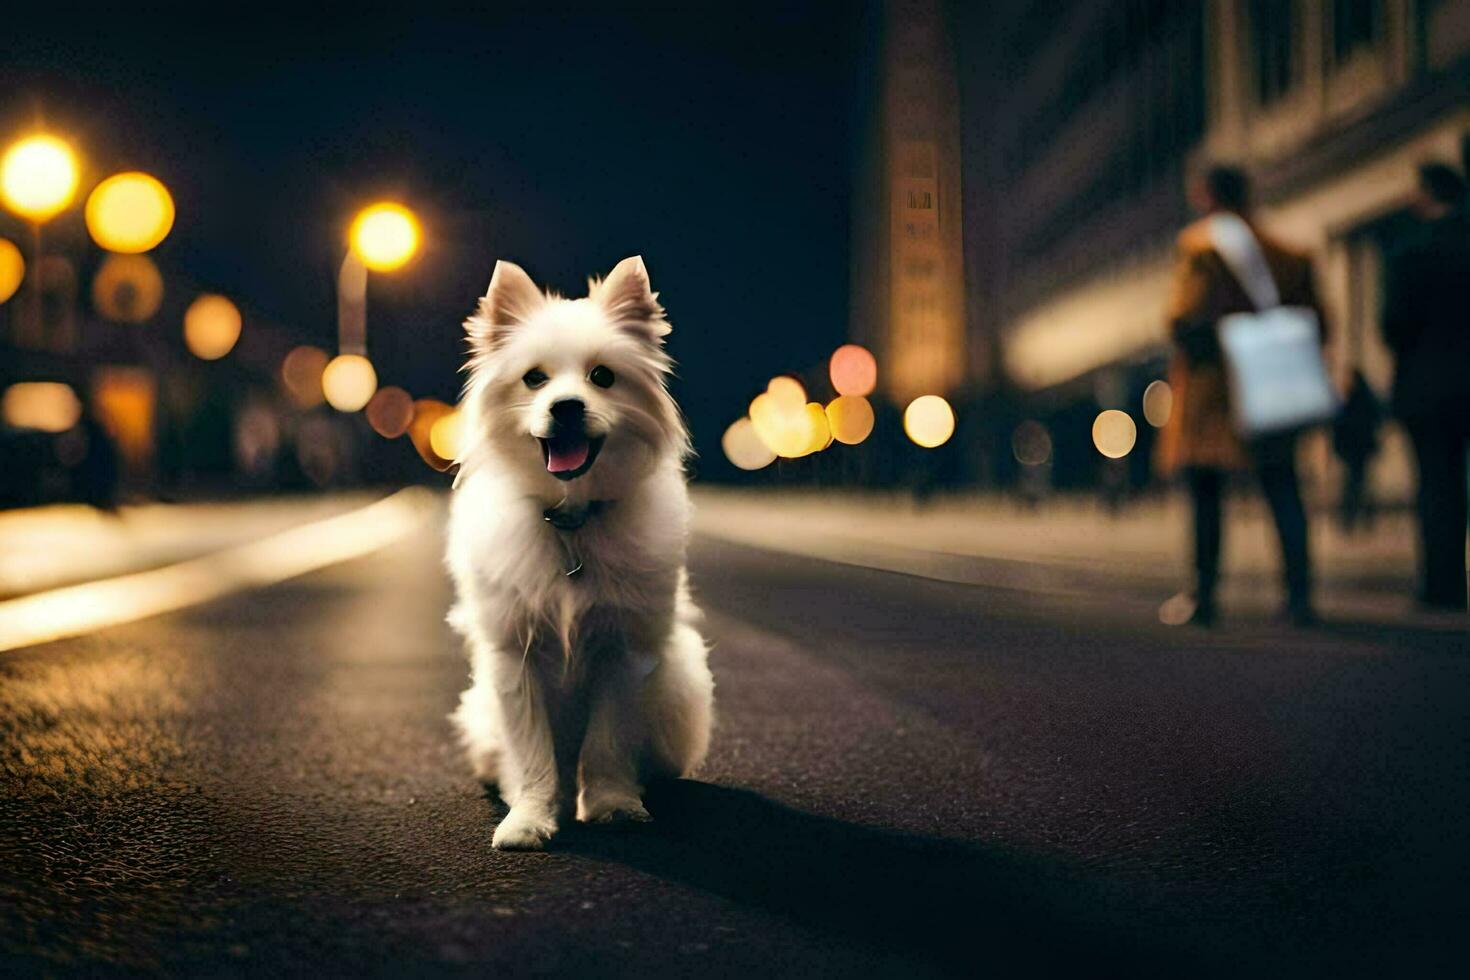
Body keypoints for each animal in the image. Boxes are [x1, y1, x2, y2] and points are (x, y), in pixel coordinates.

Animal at [443, 257, 714, 846]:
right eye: (534, 379)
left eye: (603, 377)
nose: (566, 407)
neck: (570, 522)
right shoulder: (514, 659)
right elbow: (534, 755)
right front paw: (530, 818)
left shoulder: (623, 654)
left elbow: (607, 744)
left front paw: (613, 805)